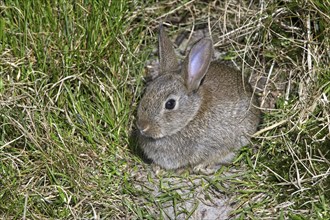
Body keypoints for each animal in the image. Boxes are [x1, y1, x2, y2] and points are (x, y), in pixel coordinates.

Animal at [135, 24, 260, 174]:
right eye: (147, 91)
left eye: (170, 104)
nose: (142, 126)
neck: (191, 117)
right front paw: (156, 167)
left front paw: (195, 168)